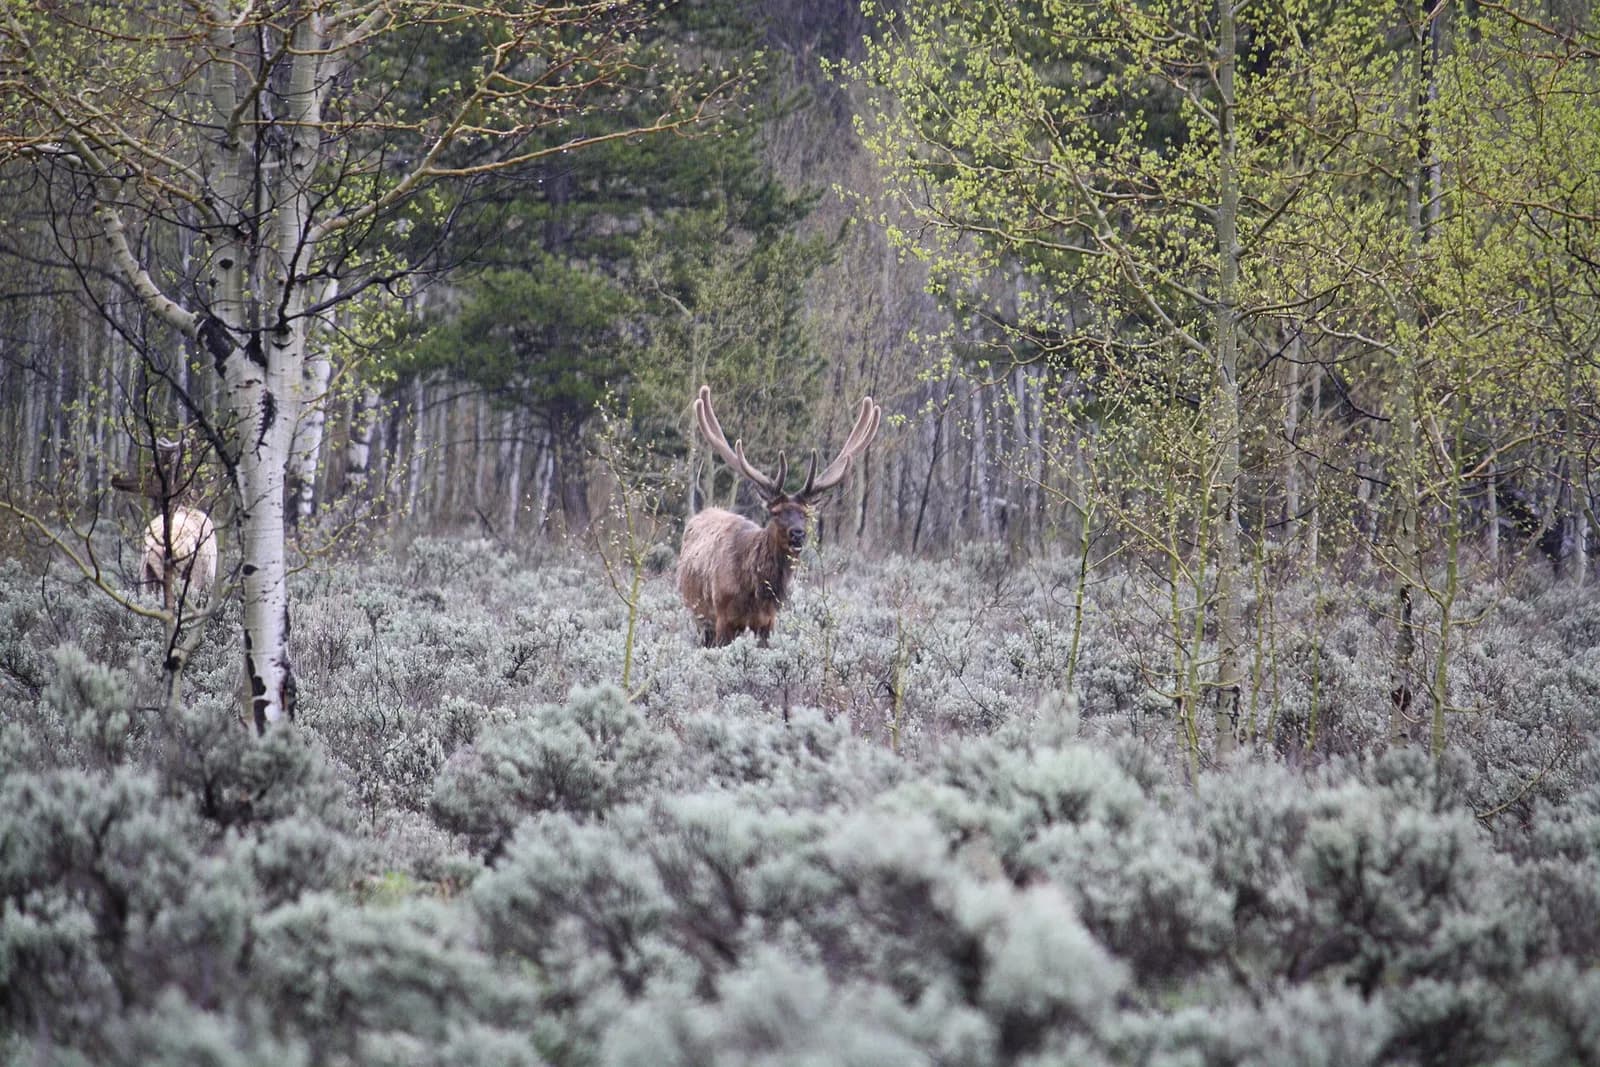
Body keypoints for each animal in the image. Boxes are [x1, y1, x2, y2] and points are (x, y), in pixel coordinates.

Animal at [678, 384, 882, 647]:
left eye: (806, 514)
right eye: (776, 513)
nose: (797, 534)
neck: (755, 592)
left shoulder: (768, 621)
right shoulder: (723, 618)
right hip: (698, 614)